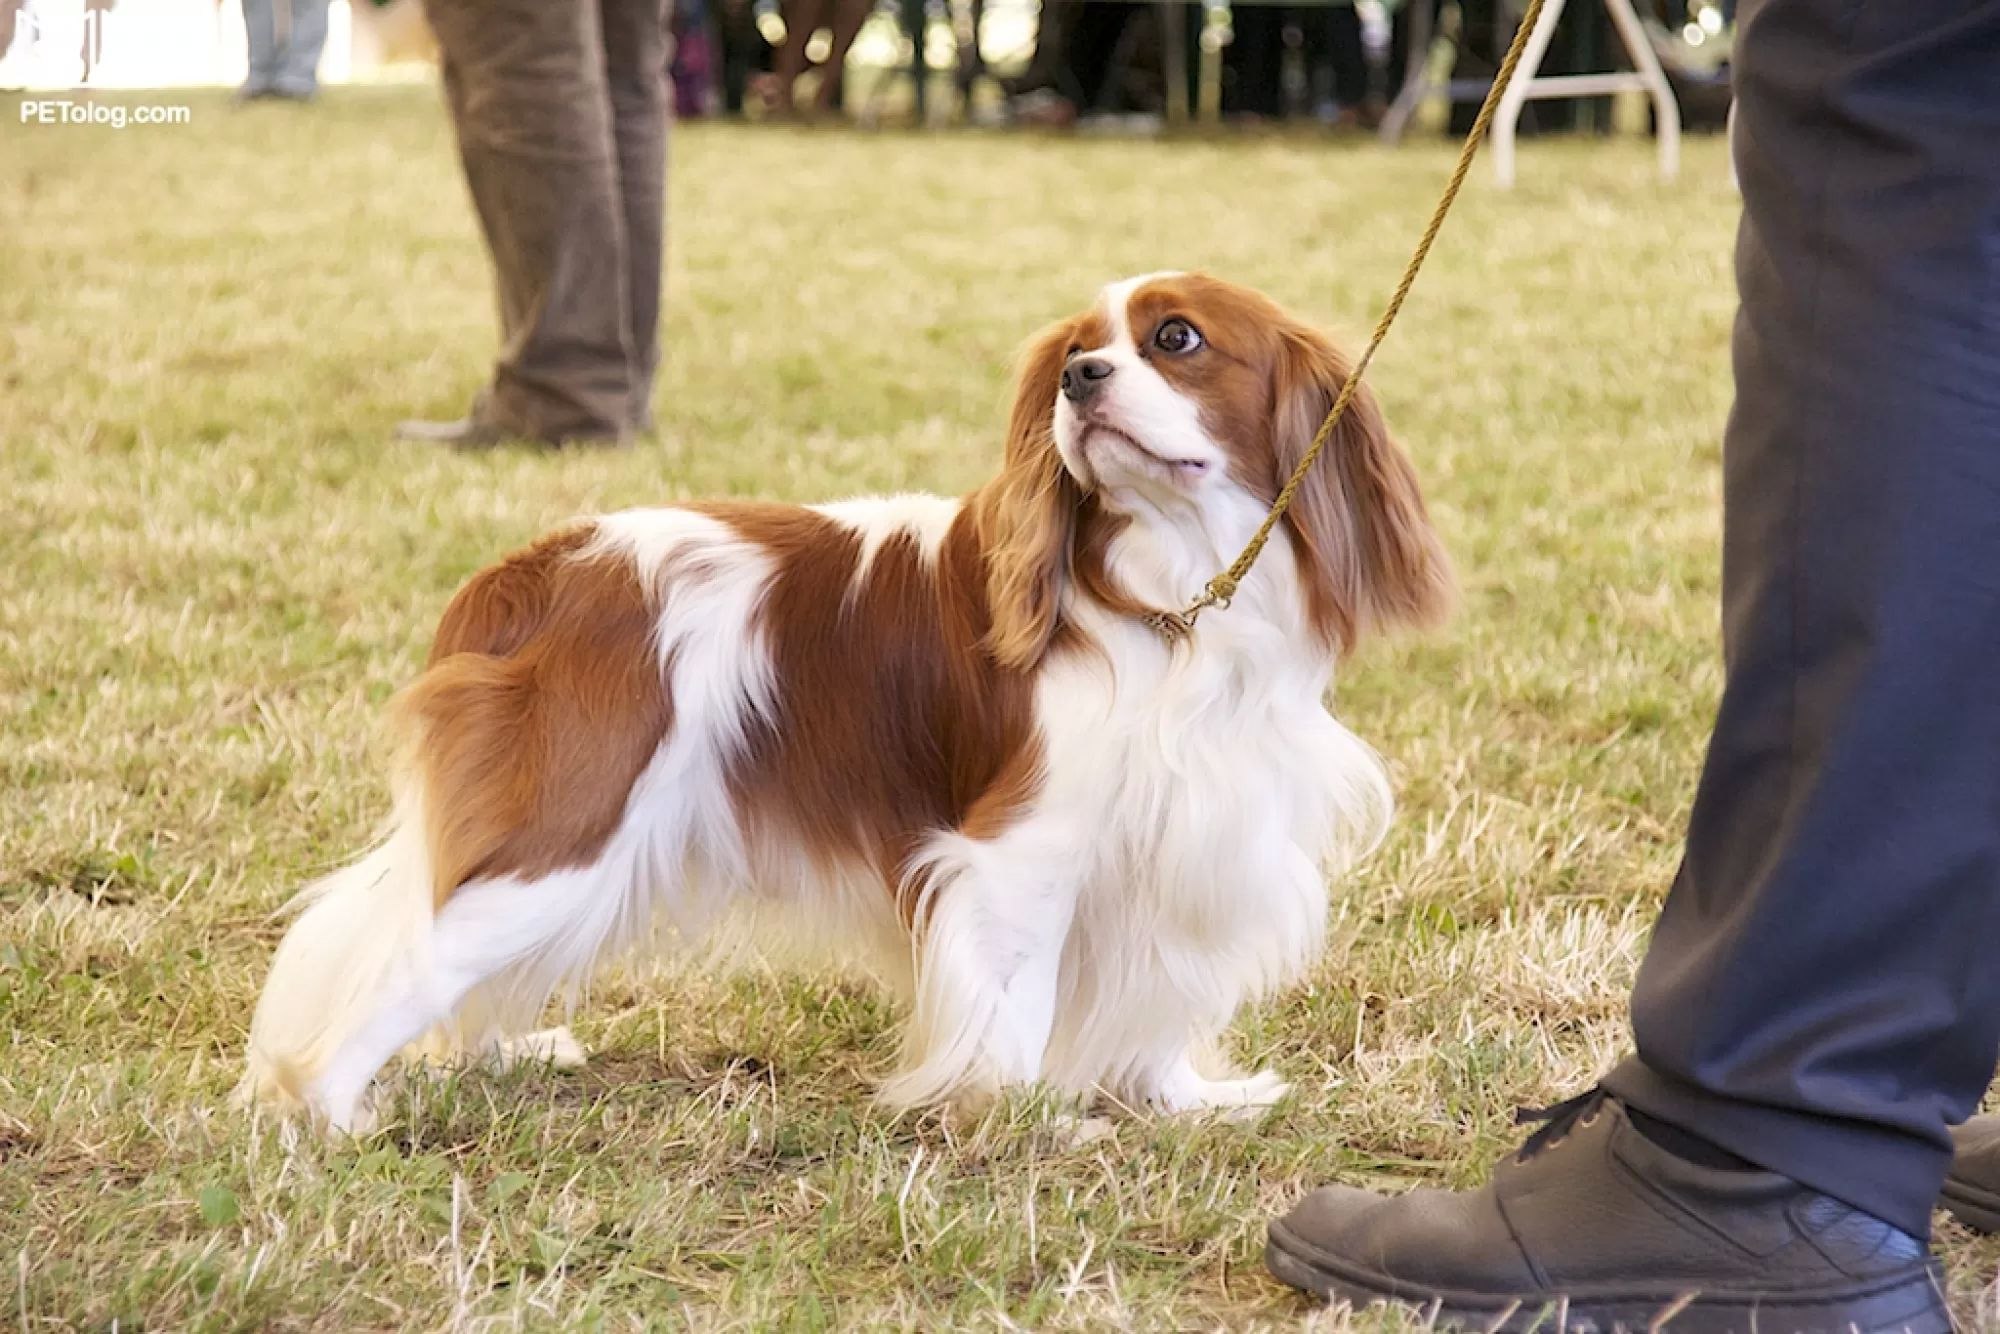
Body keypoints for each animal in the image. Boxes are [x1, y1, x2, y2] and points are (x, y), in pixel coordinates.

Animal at [246, 276, 1456, 1136]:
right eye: (1078, 347)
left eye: (1175, 339)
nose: (1079, 375)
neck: (1177, 597)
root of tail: (540, 567)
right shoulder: (1020, 852)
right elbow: (1016, 1007)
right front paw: (1024, 1123)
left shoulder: (1193, 839)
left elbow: (1158, 1001)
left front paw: (1184, 1100)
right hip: (567, 833)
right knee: (406, 958)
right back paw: (331, 1112)